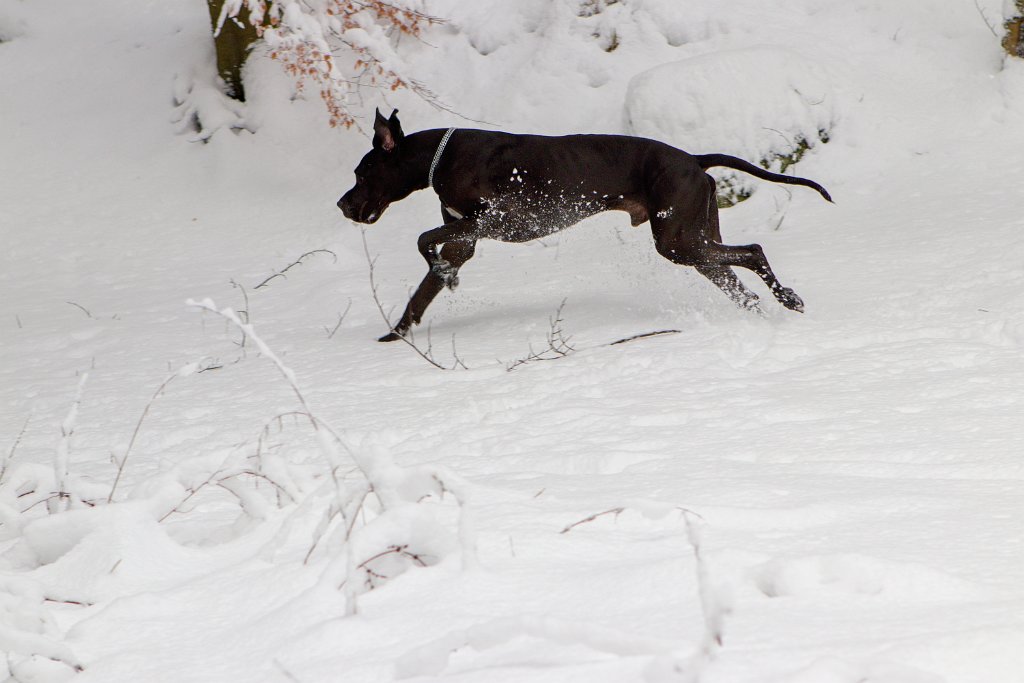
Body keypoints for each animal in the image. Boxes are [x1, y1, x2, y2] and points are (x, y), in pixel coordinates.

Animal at [337, 109, 831, 342]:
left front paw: (442, 273)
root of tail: (694, 159)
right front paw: (396, 336)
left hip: (677, 242)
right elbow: (420, 295)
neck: (440, 158)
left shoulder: (490, 221)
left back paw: (789, 298)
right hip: (694, 242)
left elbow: (424, 241)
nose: (342, 204)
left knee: (754, 251)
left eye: (361, 174)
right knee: (738, 280)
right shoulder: (467, 237)